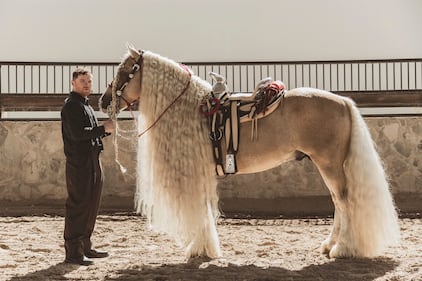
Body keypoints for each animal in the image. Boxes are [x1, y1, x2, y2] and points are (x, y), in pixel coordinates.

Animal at [99, 45, 398, 258]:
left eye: (125, 71)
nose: (102, 101)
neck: (191, 109)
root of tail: (343, 101)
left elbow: (201, 209)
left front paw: (201, 249)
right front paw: (204, 247)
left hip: (330, 165)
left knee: (345, 202)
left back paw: (343, 248)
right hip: (327, 165)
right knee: (338, 203)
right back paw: (329, 245)